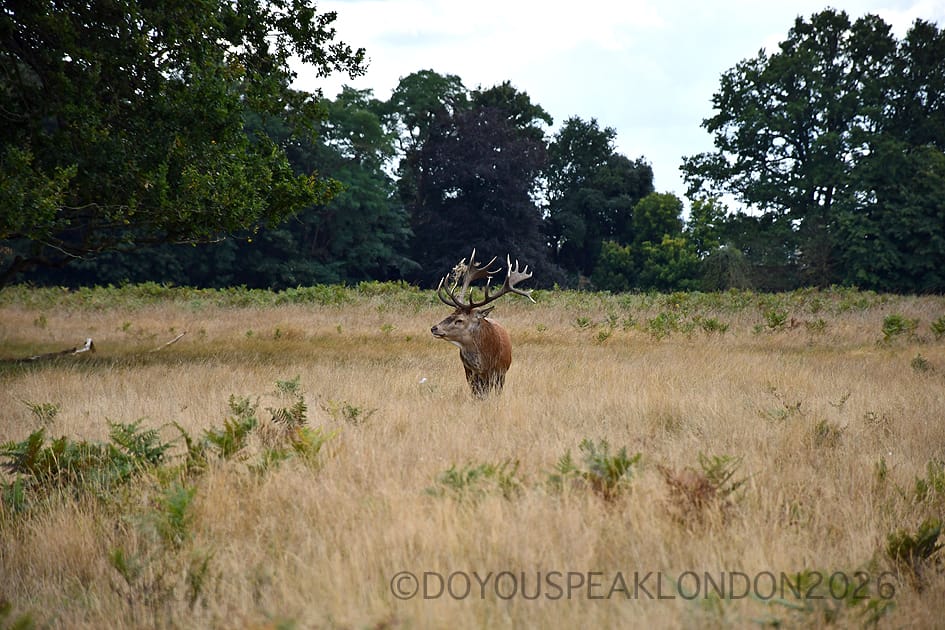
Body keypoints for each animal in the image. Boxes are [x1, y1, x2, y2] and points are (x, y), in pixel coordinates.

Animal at [431, 249, 535, 397]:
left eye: (459, 320)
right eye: (450, 314)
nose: (434, 328)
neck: (484, 363)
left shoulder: (500, 372)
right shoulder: (470, 373)